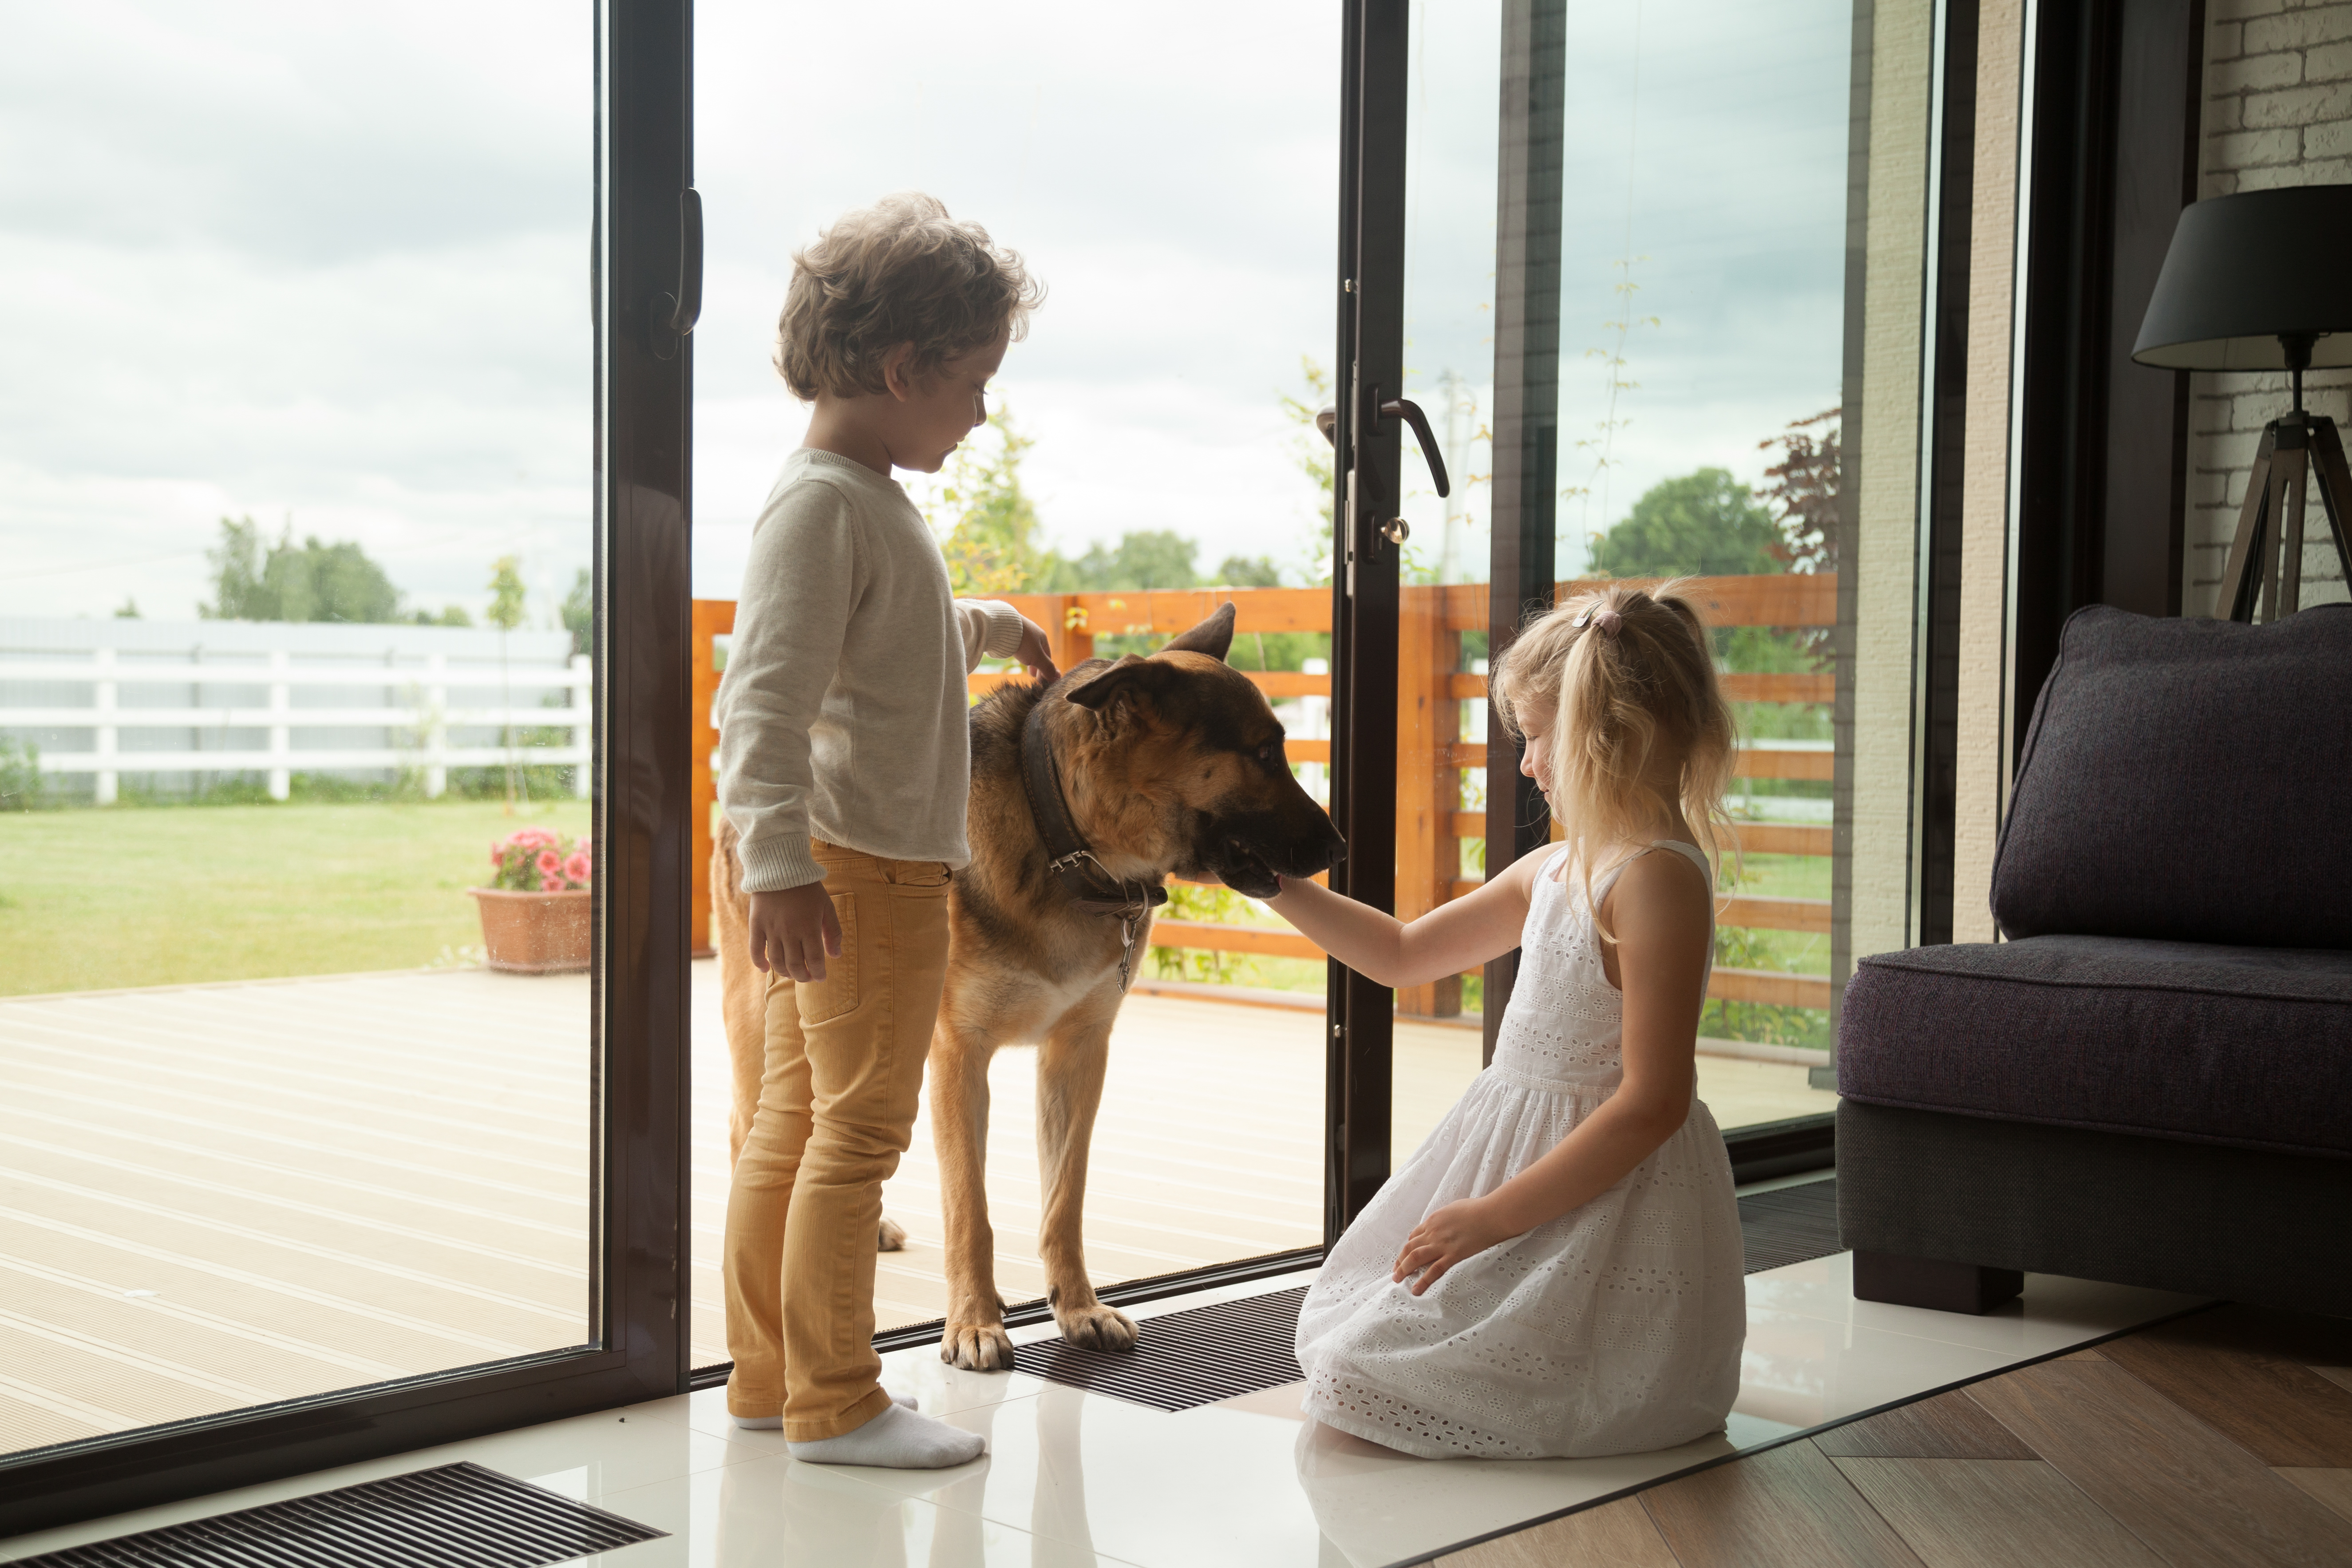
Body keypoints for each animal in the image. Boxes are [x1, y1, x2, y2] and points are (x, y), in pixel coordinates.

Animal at [710, 606, 1345, 1373]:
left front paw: (1076, 1308)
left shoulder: (1077, 1054)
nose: (1339, 847)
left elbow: (1063, 1199)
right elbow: (969, 1208)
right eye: (1260, 753)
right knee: (752, 1128)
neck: (1067, 841)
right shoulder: (958, 1058)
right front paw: (974, 1321)